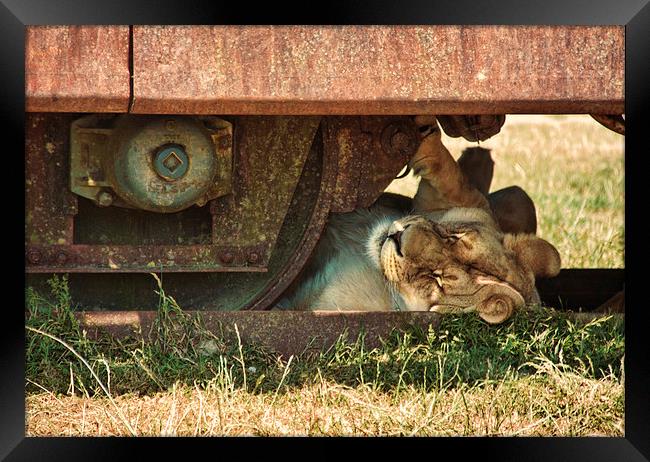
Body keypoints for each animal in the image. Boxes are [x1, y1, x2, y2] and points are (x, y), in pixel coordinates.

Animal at [276, 116, 560, 324]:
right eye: (452, 237)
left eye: (435, 279)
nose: (397, 235)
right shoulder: (460, 202)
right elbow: (446, 170)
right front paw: (421, 125)